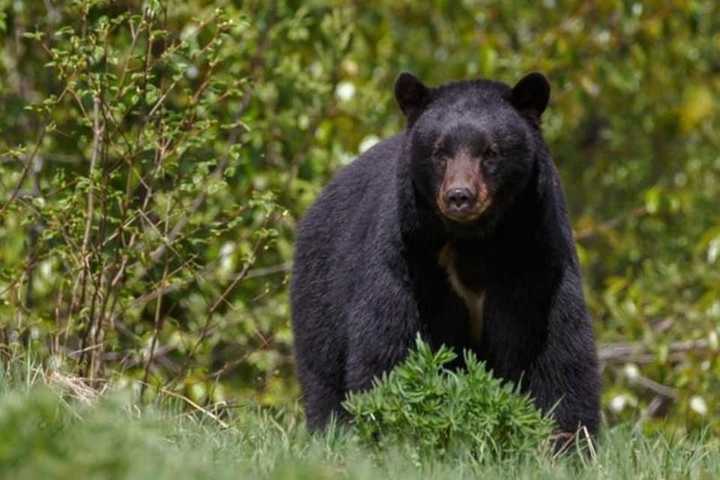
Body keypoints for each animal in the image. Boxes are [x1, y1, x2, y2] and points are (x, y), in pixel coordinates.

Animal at [292, 72, 600, 438]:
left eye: (491, 152)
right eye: (439, 152)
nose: (459, 197)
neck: (474, 241)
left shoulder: (536, 253)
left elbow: (556, 349)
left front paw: (568, 437)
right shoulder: (408, 255)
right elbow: (391, 342)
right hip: (321, 288)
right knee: (322, 369)